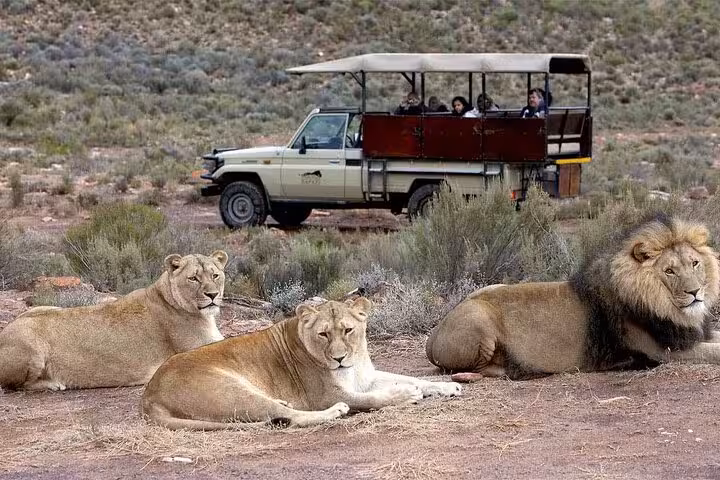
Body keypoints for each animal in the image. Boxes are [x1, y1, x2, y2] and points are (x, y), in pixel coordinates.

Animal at [0, 251, 229, 391]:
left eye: (215, 275)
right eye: (193, 278)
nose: (212, 295)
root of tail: (4, 332)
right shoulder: (200, 349)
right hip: (32, 348)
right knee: (14, 385)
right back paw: (54, 384)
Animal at [142, 297, 461, 430]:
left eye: (347, 330)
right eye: (323, 334)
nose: (339, 358)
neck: (355, 362)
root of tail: (149, 395)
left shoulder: (365, 377)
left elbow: (411, 378)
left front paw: (448, 387)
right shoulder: (329, 393)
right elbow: (374, 398)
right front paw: (406, 395)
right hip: (233, 391)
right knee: (289, 418)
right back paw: (334, 412)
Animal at [425, 215, 720, 381]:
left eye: (694, 263)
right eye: (669, 271)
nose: (695, 292)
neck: (670, 309)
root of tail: (434, 333)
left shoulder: (693, 335)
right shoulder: (664, 351)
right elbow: (714, 352)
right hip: (479, 320)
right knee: (478, 369)